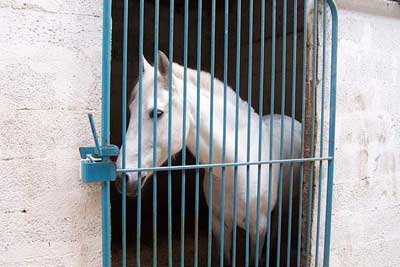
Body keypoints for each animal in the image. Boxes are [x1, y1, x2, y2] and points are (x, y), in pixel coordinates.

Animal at [115, 51, 300, 264]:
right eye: (131, 110)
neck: (235, 167)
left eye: (157, 113)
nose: (122, 178)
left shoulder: (258, 229)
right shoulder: (219, 225)